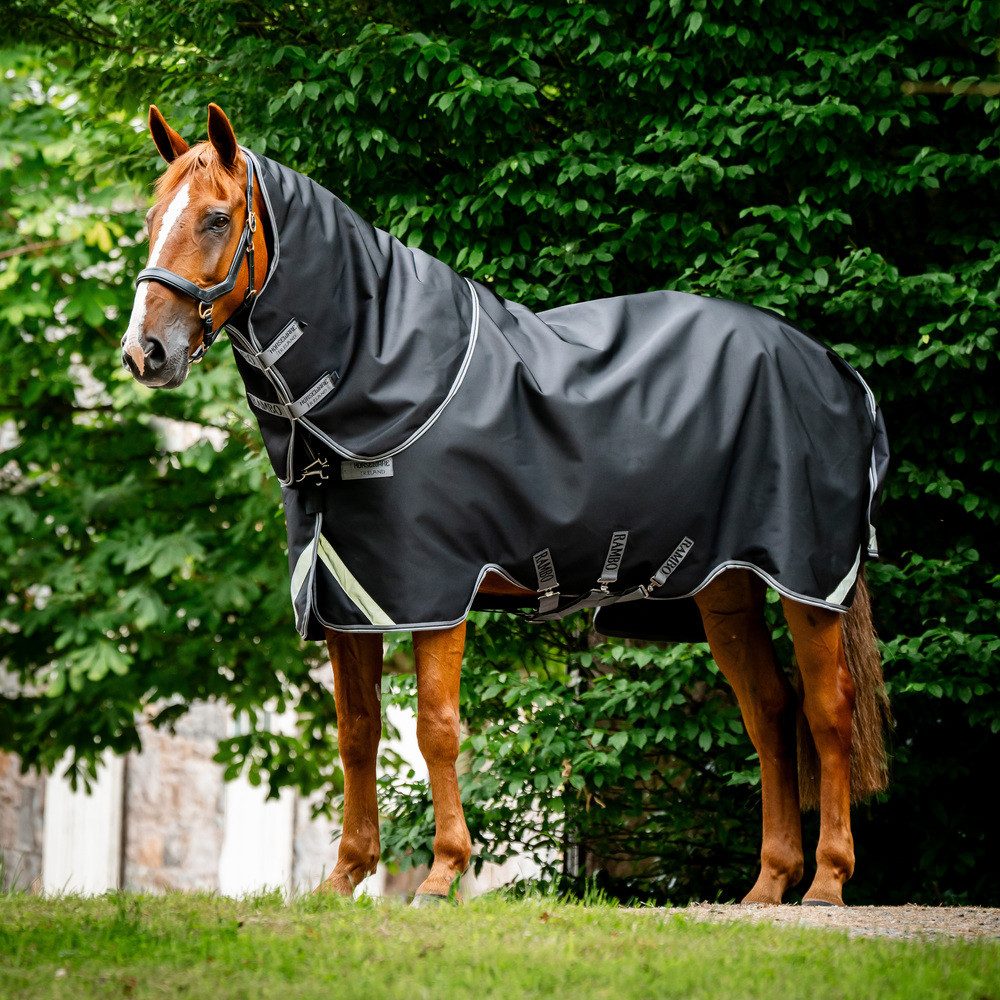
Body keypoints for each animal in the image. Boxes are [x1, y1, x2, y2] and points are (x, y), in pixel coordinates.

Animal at [121, 103, 890, 907]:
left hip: (807, 583)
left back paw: (827, 882)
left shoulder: (435, 590)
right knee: (769, 713)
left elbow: (435, 727)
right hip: (728, 588)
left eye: (216, 218)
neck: (381, 375)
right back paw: (768, 884)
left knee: (827, 710)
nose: (145, 352)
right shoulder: (348, 598)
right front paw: (345, 877)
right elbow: (357, 731)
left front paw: (442, 873)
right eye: (151, 218)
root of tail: (839, 373)